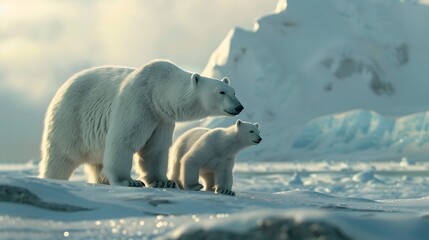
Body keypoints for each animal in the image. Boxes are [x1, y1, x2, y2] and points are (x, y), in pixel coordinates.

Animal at [38, 60, 242, 188]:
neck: (156, 91)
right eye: (221, 92)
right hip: (70, 121)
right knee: (60, 158)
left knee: (96, 162)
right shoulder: (137, 103)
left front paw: (164, 181)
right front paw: (128, 181)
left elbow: (155, 149)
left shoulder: (160, 118)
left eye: (233, 91)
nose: (239, 107)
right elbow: (123, 140)